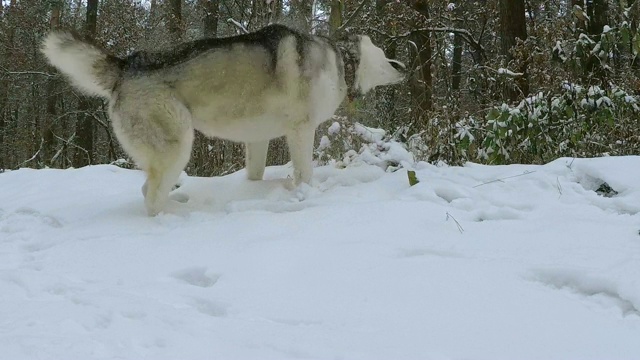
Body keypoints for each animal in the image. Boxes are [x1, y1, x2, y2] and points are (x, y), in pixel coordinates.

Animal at [42, 26, 404, 217]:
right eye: (383, 51)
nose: (402, 64)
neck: (341, 61)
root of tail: (125, 65)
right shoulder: (302, 131)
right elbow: (305, 174)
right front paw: (307, 196)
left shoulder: (257, 138)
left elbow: (255, 174)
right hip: (178, 145)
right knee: (151, 195)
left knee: (148, 189)